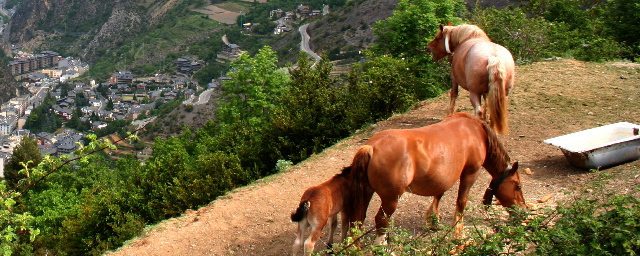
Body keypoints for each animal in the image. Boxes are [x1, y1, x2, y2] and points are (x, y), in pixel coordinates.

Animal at [344, 112, 524, 242]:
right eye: (518, 186)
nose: (522, 210)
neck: (475, 132)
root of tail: (372, 147)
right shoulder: (470, 172)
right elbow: (461, 201)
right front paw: (457, 231)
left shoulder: (442, 176)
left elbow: (439, 193)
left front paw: (433, 220)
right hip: (391, 199)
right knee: (381, 220)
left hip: (367, 192)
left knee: (358, 221)